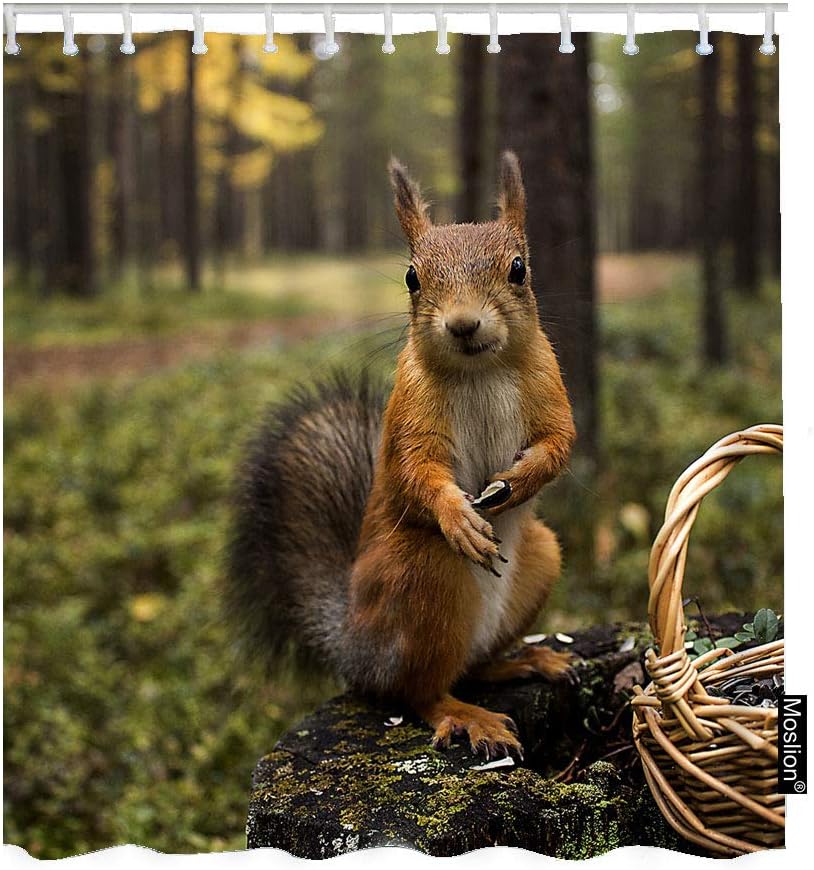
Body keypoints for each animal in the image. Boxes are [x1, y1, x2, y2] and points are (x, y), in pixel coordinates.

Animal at [226, 151, 577, 760]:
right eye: (413, 277)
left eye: (519, 269)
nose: (463, 324)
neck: (481, 370)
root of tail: (355, 647)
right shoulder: (410, 412)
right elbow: (417, 470)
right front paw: (459, 517)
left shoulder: (549, 386)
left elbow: (559, 443)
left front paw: (521, 480)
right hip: (422, 577)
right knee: (418, 691)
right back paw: (466, 715)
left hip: (541, 558)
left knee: (472, 666)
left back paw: (525, 660)